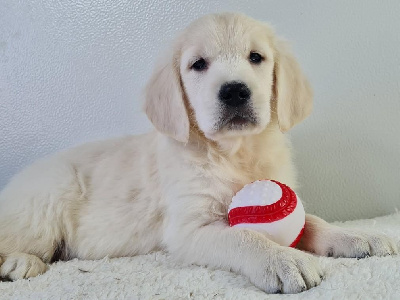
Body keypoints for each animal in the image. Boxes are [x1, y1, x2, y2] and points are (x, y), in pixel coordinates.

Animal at [0, 12, 396, 292]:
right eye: (198, 64)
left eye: (256, 57)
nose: (234, 91)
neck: (234, 153)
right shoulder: (189, 229)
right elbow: (244, 236)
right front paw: (284, 258)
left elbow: (312, 220)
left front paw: (360, 237)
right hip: (47, 200)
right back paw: (20, 263)